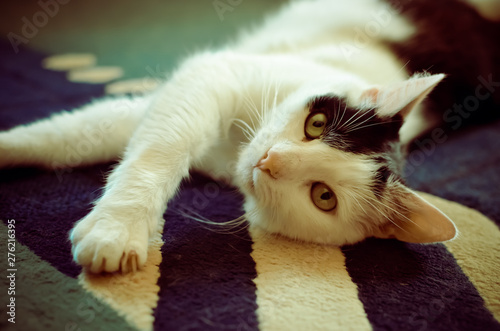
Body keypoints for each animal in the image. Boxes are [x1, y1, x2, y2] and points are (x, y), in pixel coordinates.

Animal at [0, 0, 500, 274]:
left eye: (323, 197)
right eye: (316, 124)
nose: (268, 161)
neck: (232, 150)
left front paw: (114, 230)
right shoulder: (208, 78)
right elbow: (90, 139)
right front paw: (118, 228)